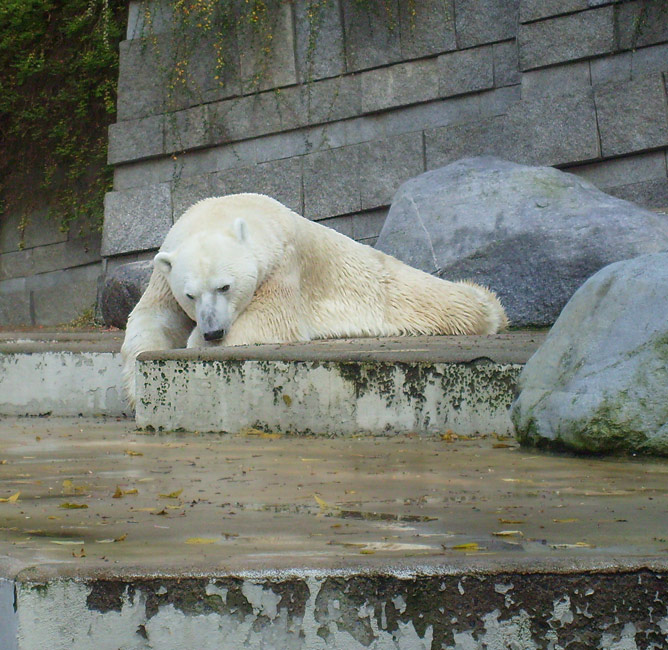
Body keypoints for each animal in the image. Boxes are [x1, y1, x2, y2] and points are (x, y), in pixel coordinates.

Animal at [121, 192, 506, 404]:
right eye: (190, 294)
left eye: (225, 286)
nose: (213, 331)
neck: (224, 212)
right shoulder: (163, 275)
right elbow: (150, 318)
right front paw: (137, 386)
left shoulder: (283, 263)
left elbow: (269, 321)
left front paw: (195, 342)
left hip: (399, 290)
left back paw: (488, 307)